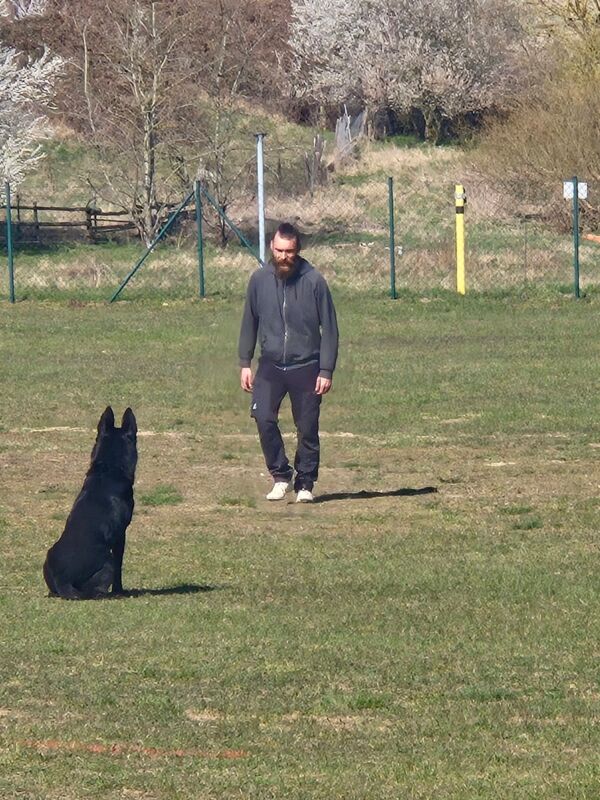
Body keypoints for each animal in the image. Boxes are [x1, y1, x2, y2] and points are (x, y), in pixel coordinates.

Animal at [43, 406, 138, 599]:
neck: (108, 469)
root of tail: (63, 580)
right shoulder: (120, 535)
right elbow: (120, 566)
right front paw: (120, 591)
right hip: (108, 562)